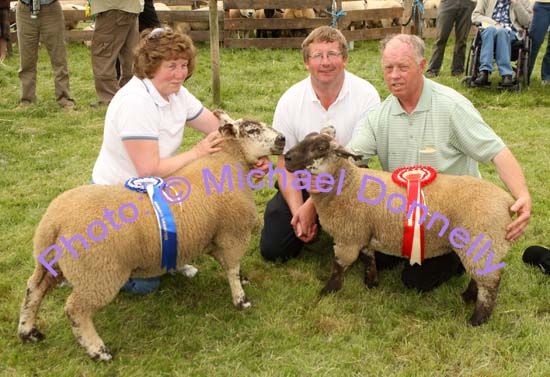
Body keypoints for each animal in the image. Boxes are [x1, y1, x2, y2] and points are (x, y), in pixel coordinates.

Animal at [17, 111, 286, 358]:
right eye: (252, 130)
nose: (283, 138)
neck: (228, 161)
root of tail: (54, 222)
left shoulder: (215, 236)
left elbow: (230, 266)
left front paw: (242, 279)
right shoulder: (233, 233)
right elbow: (231, 268)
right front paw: (241, 300)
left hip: (51, 262)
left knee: (34, 288)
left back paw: (28, 331)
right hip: (99, 273)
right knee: (75, 309)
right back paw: (98, 350)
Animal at [286, 128, 516, 324]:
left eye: (321, 147)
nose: (287, 157)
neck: (348, 184)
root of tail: (508, 201)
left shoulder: (348, 237)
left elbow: (339, 266)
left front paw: (328, 291)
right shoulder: (364, 231)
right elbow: (369, 257)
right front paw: (371, 283)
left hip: (481, 241)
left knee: (490, 282)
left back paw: (477, 319)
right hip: (482, 246)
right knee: (481, 276)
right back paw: (468, 297)